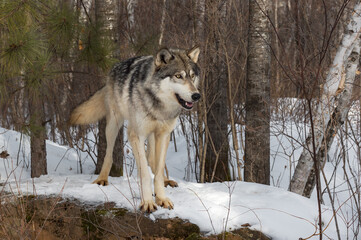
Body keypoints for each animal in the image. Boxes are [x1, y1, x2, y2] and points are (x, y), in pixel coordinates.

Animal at [69, 47, 200, 212]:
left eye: (192, 76)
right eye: (178, 76)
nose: (197, 95)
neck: (159, 106)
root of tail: (115, 67)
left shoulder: (164, 135)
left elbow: (157, 171)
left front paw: (161, 198)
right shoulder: (136, 135)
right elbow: (144, 173)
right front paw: (148, 202)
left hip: (151, 135)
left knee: (152, 159)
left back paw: (166, 180)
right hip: (114, 124)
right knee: (109, 154)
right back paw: (102, 179)